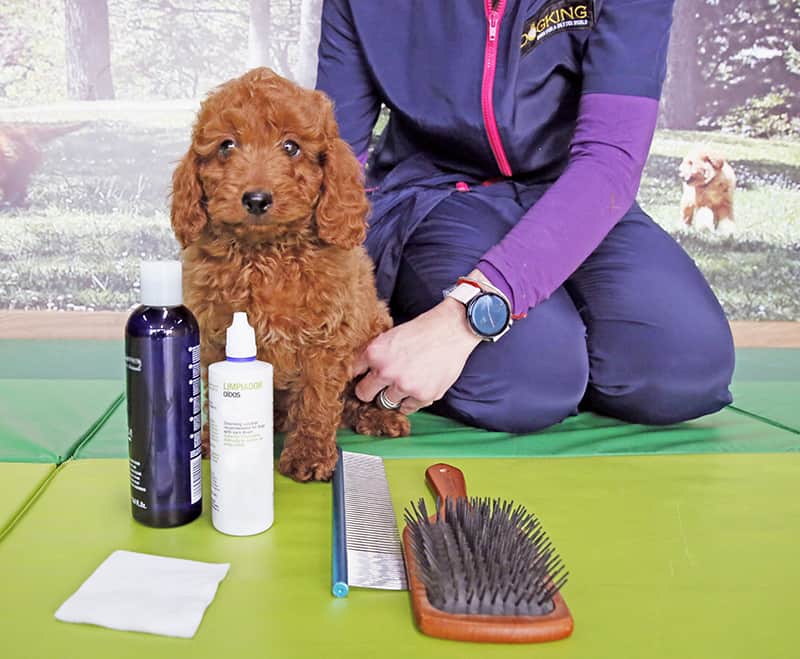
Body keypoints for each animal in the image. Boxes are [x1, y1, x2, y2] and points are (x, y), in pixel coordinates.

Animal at [171, 67, 410, 482]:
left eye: (291, 147)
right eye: (227, 146)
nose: (256, 199)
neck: (264, 253)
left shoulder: (326, 338)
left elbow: (317, 399)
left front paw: (309, 454)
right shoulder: (215, 333)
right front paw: (211, 441)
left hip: (375, 328)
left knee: (353, 400)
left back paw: (378, 416)